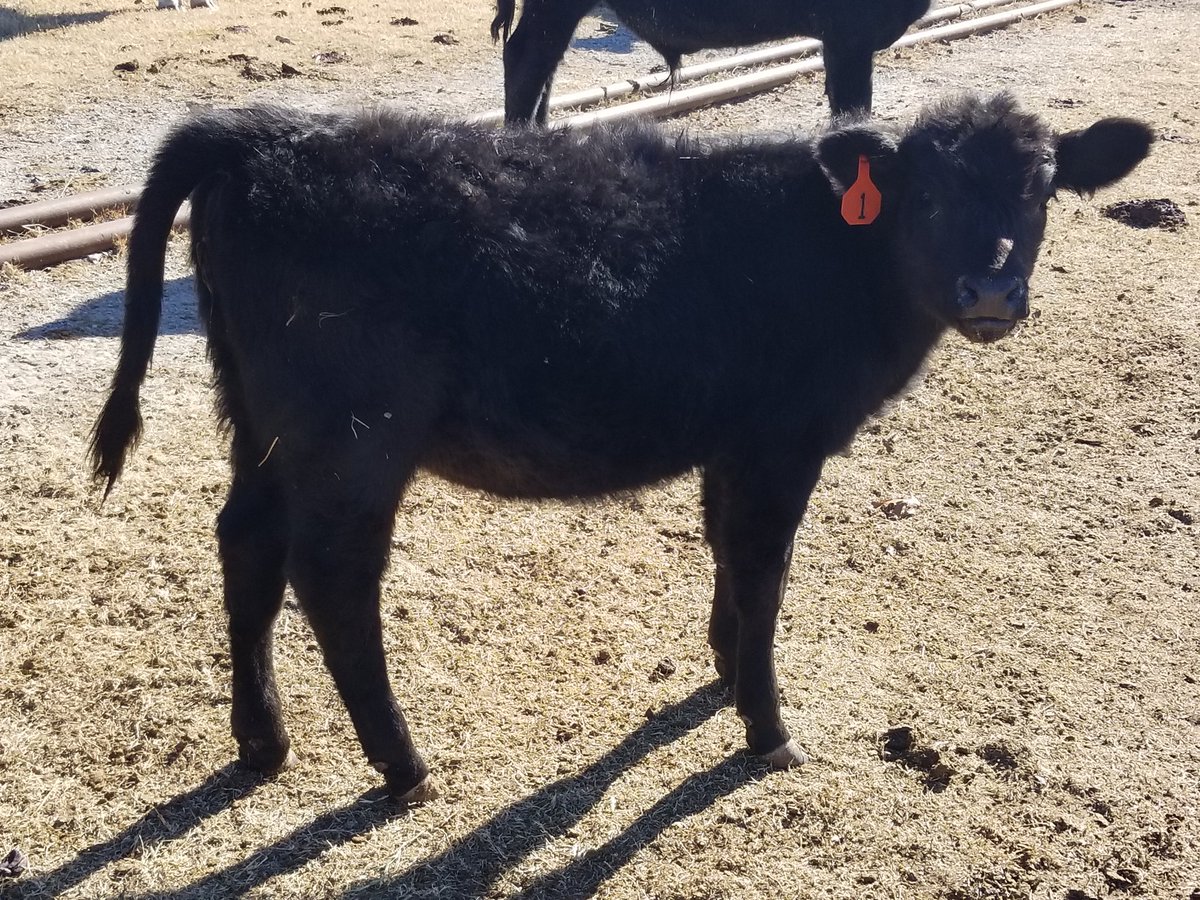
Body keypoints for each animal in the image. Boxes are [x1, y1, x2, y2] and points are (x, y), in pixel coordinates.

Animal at [91, 94, 1151, 803]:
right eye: (923, 195)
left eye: (1043, 190)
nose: (991, 291)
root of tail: (266, 131)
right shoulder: (779, 441)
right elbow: (764, 568)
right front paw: (766, 726)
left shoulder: (732, 443)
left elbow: (728, 556)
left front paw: (722, 669)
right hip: (352, 437)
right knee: (332, 576)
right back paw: (402, 765)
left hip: (260, 420)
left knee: (246, 544)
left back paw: (262, 743)